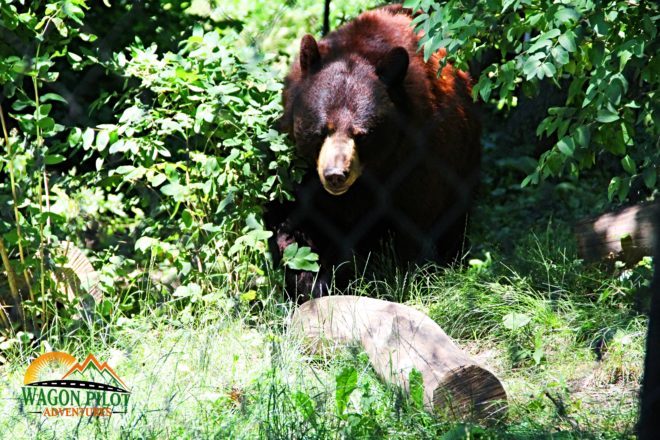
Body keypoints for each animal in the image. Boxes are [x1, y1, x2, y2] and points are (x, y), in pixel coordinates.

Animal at [266, 4, 482, 300]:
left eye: (361, 134)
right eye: (323, 129)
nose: (336, 174)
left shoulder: (418, 162)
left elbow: (415, 224)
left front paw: (408, 278)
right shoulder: (300, 170)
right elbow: (295, 222)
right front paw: (308, 281)